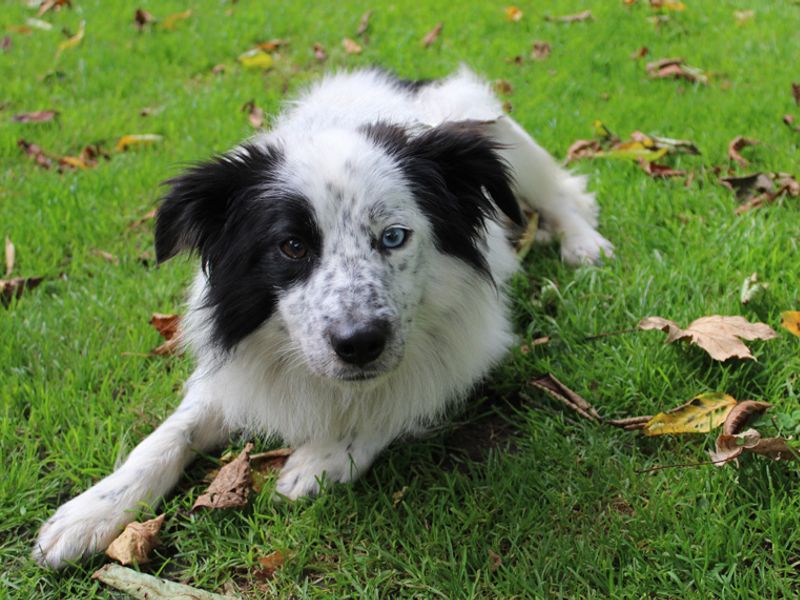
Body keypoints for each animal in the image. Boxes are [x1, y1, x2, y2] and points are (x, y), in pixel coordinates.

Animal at [32, 67, 612, 568]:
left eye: (394, 236)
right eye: (291, 246)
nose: (360, 344)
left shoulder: (469, 343)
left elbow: (403, 396)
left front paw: (323, 457)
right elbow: (170, 433)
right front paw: (91, 511)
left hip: (502, 136)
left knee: (564, 193)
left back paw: (583, 243)